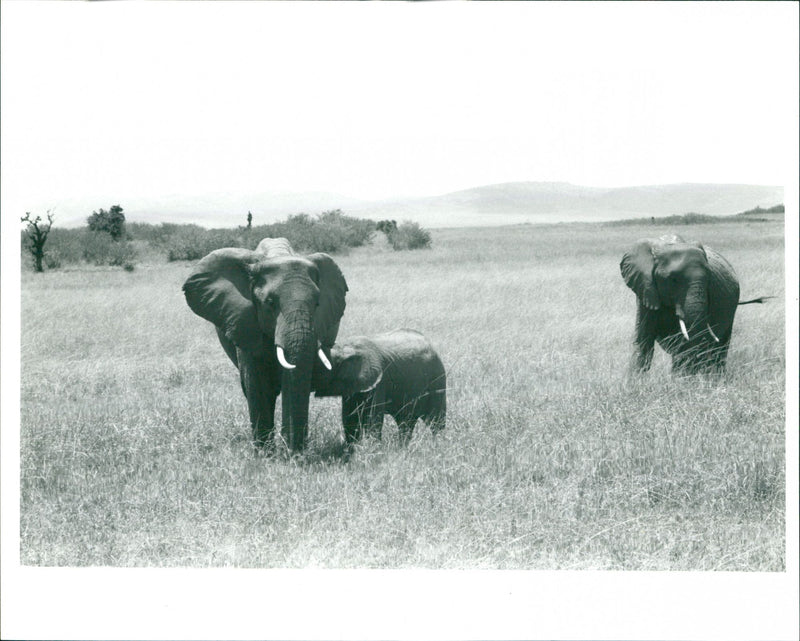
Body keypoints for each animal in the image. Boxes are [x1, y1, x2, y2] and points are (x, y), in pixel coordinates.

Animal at [183, 237, 348, 452]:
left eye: (318, 304)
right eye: (270, 303)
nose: (294, 450)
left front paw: (290, 452)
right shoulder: (244, 321)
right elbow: (257, 385)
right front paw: (265, 455)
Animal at [313, 329, 446, 445]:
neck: (344, 349)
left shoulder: (378, 381)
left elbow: (372, 418)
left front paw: (372, 449)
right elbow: (350, 418)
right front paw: (351, 448)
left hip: (437, 379)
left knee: (436, 420)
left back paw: (438, 445)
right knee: (406, 422)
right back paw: (403, 448)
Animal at [620, 234, 741, 374]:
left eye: (709, 279)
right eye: (673, 280)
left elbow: (685, 346)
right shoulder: (646, 289)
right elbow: (643, 340)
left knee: (719, 349)